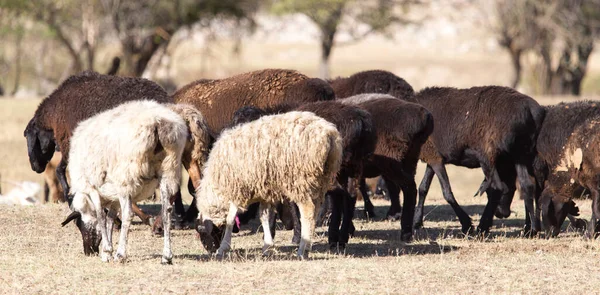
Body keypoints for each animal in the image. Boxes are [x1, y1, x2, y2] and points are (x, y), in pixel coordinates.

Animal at [60, 100, 211, 264]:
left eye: (78, 223)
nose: (89, 251)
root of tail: (157, 122)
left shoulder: (93, 187)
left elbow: (101, 216)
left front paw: (107, 251)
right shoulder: (113, 193)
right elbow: (110, 218)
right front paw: (108, 251)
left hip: (128, 175)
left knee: (128, 214)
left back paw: (121, 254)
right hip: (169, 167)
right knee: (167, 211)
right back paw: (166, 256)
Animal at [197, 111, 342, 260]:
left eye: (203, 233)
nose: (210, 251)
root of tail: (328, 134)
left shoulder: (238, 190)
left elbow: (230, 219)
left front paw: (223, 248)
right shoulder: (264, 192)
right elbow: (264, 216)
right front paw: (267, 246)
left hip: (300, 180)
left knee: (307, 212)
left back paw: (302, 250)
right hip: (321, 180)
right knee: (315, 211)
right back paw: (307, 246)